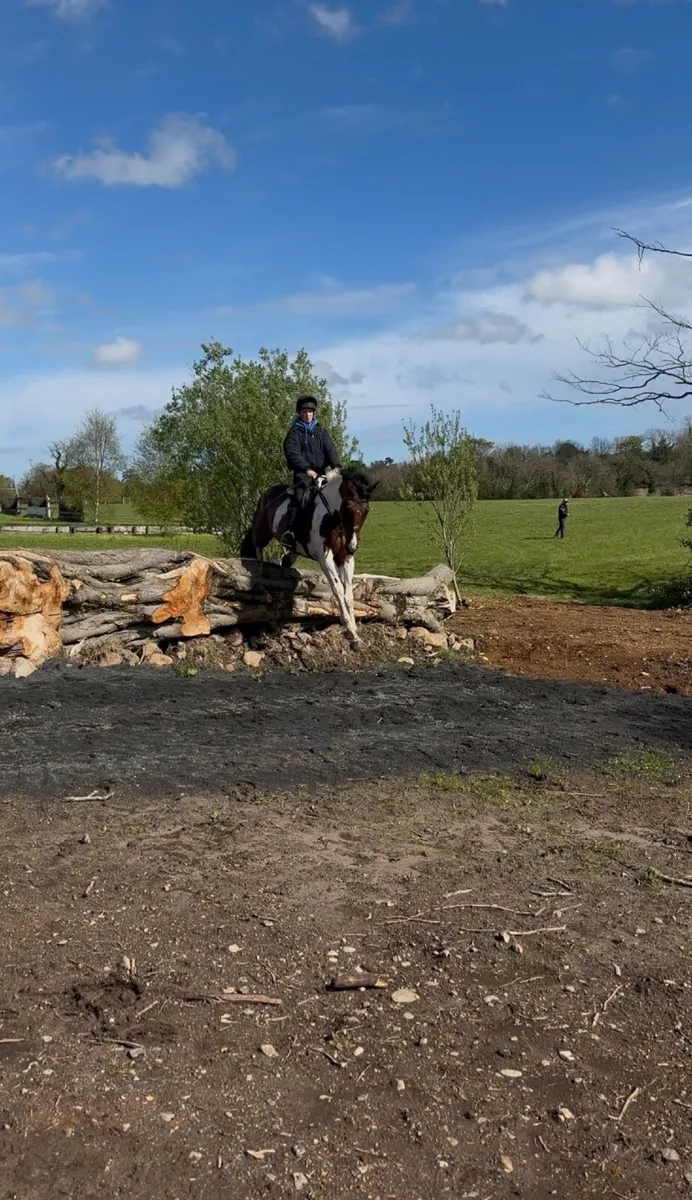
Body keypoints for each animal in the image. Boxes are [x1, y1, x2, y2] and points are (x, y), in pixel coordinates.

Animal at [240, 468, 377, 646]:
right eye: (347, 508)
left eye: (366, 510)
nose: (352, 547)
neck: (332, 518)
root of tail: (267, 493)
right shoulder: (325, 557)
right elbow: (338, 588)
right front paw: (348, 627)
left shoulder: (345, 557)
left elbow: (348, 593)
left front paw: (354, 632)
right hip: (261, 532)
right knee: (257, 550)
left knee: (285, 561)